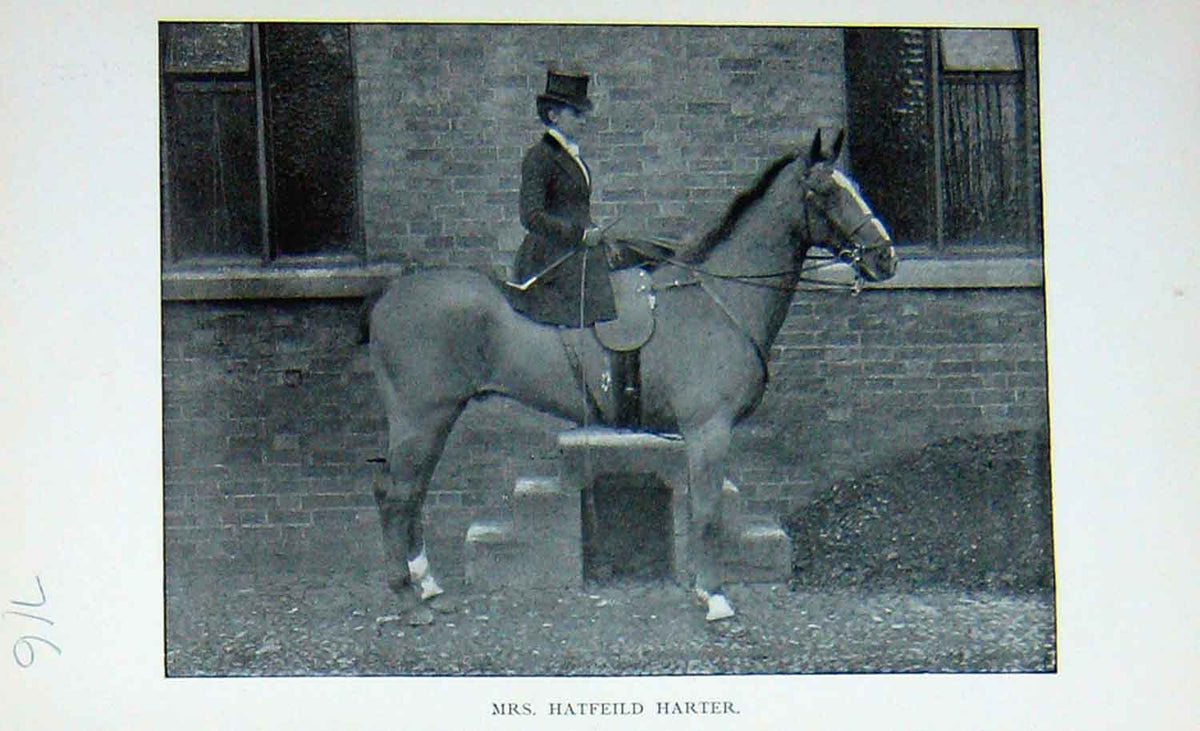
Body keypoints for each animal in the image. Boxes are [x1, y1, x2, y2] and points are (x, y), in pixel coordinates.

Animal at [368, 129, 898, 623]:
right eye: (826, 190)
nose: (886, 257)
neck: (716, 298)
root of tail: (387, 300)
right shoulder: (709, 430)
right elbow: (707, 513)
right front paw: (716, 598)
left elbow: (699, 508)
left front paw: (703, 589)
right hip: (422, 416)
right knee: (396, 493)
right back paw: (406, 595)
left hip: (435, 417)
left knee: (412, 489)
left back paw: (426, 583)